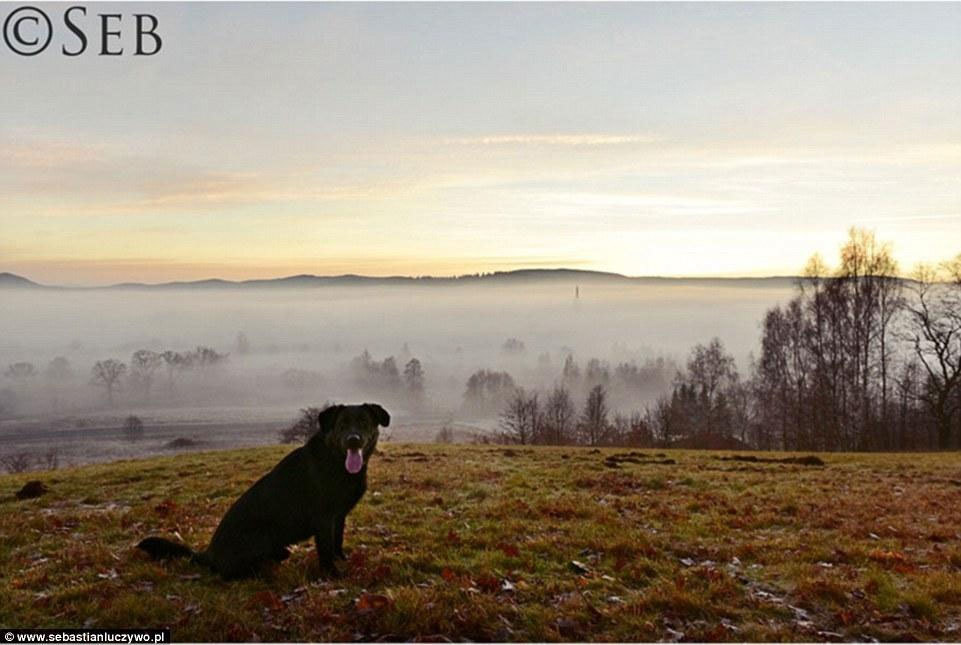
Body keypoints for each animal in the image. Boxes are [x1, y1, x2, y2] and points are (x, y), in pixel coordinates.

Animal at [136, 402, 390, 580]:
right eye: (342, 425)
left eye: (364, 422)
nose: (353, 440)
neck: (336, 461)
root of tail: (208, 554)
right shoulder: (324, 519)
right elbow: (326, 550)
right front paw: (333, 574)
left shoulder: (339, 516)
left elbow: (337, 542)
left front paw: (343, 560)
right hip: (259, 537)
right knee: (230, 573)